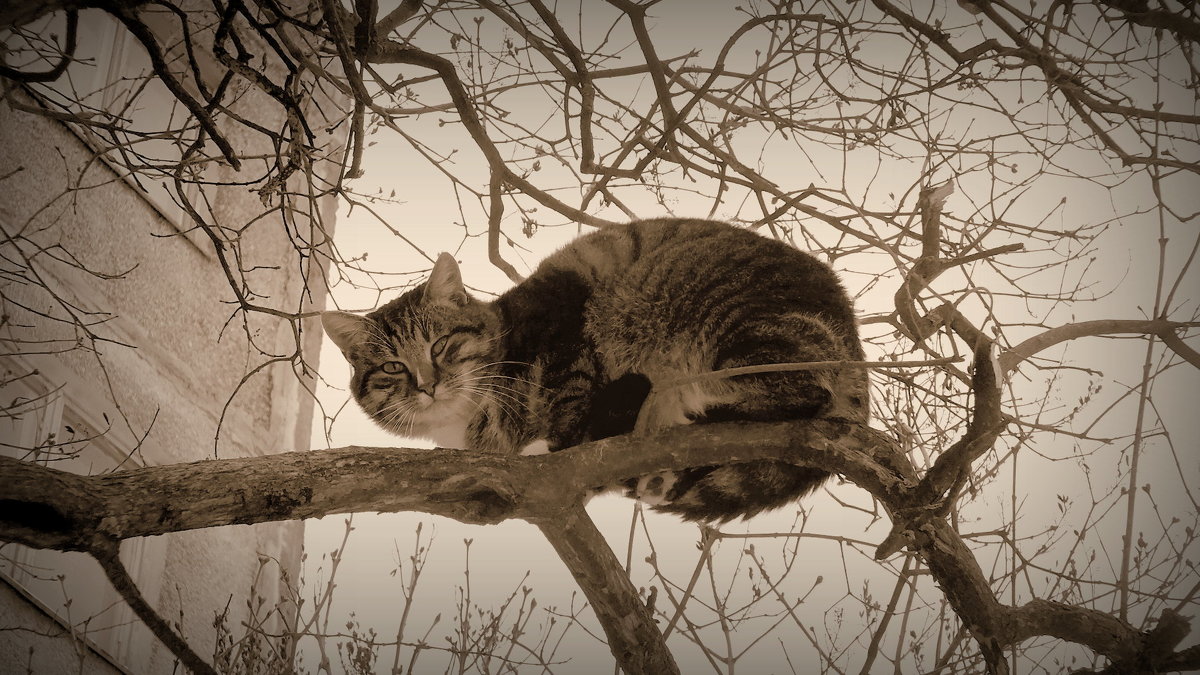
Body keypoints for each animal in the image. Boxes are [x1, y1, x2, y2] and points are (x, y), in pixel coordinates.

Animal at [319, 218, 868, 516]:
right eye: (393, 367)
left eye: (440, 346)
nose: (428, 385)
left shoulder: (567, 322)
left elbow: (571, 404)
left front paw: (553, 445)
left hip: (731, 322)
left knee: (804, 394)